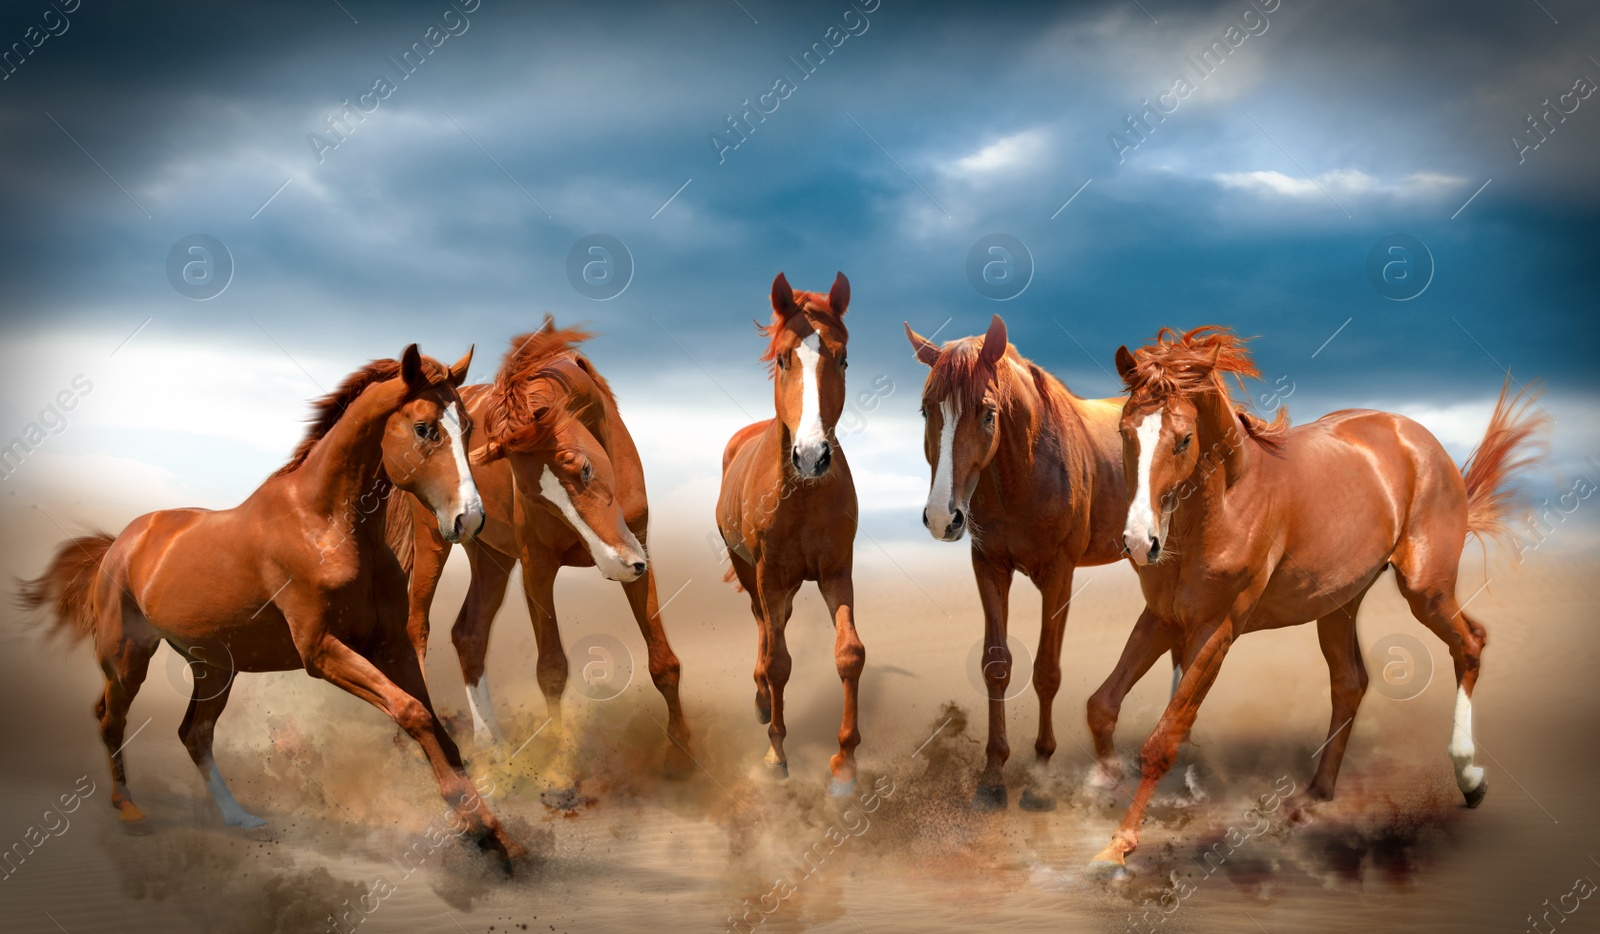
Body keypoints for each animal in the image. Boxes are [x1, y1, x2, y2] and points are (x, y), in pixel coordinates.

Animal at [17, 347, 524, 863]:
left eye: (467, 426)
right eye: (424, 428)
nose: (469, 520)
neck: (327, 525)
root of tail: (120, 542)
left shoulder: (391, 647)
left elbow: (437, 728)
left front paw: (498, 836)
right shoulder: (321, 651)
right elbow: (413, 713)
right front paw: (477, 827)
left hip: (215, 667)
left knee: (194, 734)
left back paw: (239, 818)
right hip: (127, 658)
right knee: (111, 717)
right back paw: (129, 809)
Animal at [390, 319, 691, 786]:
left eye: (584, 468)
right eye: (533, 495)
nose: (614, 565)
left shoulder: (640, 550)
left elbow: (663, 660)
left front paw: (681, 757)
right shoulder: (538, 568)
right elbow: (551, 669)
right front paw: (560, 771)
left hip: (491, 557)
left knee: (469, 634)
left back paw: (492, 746)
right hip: (434, 544)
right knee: (417, 627)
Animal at [716, 270, 864, 796]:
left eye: (843, 358)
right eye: (784, 357)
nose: (812, 456)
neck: (801, 495)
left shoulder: (836, 573)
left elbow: (849, 654)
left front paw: (844, 763)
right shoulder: (769, 575)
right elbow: (780, 662)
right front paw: (775, 754)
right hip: (750, 571)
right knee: (763, 625)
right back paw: (762, 701)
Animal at [908, 315, 1145, 809]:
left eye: (987, 412)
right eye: (926, 411)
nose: (942, 517)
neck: (1023, 475)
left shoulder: (1059, 576)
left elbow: (1046, 673)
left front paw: (1039, 776)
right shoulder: (989, 567)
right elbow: (996, 665)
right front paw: (993, 774)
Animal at [1088, 324, 1548, 870]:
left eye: (1183, 440)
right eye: (1124, 433)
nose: (1140, 543)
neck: (1225, 504)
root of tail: (1417, 437)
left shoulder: (1216, 629)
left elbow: (1165, 737)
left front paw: (1118, 846)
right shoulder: (1162, 617)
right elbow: (1103, 703)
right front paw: (1101, 785)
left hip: (1426, 589)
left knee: (1470, 643)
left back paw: (1470, 778)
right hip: (1339, 604)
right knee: (1351, 682)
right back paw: (1313, 796)